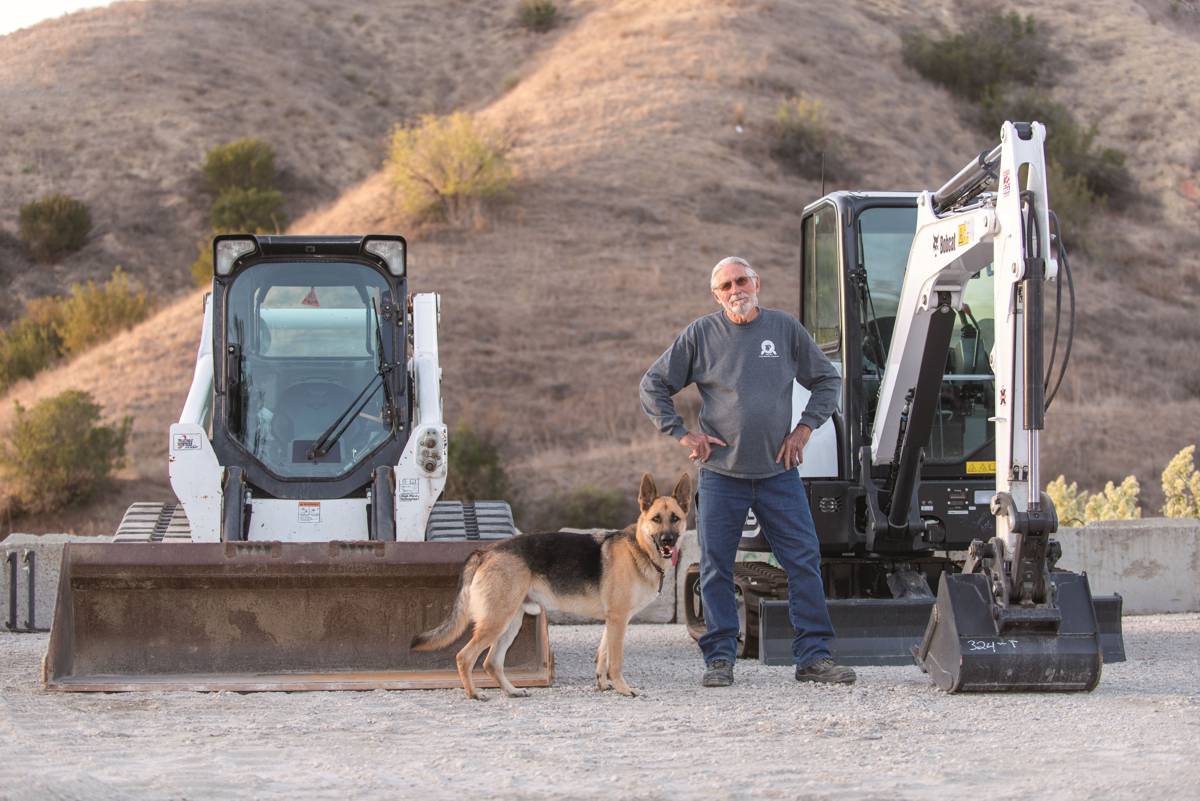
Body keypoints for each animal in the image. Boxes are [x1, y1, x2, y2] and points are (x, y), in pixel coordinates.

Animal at [415, 472, 691, 695]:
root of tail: (486, 551)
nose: (667, 541)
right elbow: (615, 661)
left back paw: (512, 691)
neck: (641, 549)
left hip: (510, 623)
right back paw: (474, 694)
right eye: (656, 519)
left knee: (490, 662)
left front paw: (603, 685)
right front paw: (624, 689)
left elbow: (602, 656)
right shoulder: (619, 620)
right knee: (465, 657)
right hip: (496, 621)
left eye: (675, 518)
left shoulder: (612, 621)